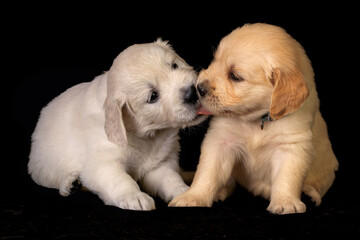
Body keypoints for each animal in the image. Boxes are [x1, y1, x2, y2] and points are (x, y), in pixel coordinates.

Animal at [29, 39, 207, 210]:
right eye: (153, 96)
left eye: (174, 65)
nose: (192, 92)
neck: (147, 134)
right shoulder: (102, 162)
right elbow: (121, 180)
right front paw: (135, 197)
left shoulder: (159, 164)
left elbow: (170, 177)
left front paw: (185, 193)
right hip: (43, 166)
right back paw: (70, 184)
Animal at [169, 23, 338, 214]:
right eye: (214, 60)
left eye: (235, 76)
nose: (199, 88)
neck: (258, 120)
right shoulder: (220, 141)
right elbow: (207, 172)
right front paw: (193, 196)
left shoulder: (291, 146)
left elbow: (287, 177)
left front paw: (286, 202)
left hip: (329, 169)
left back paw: (309, 193)